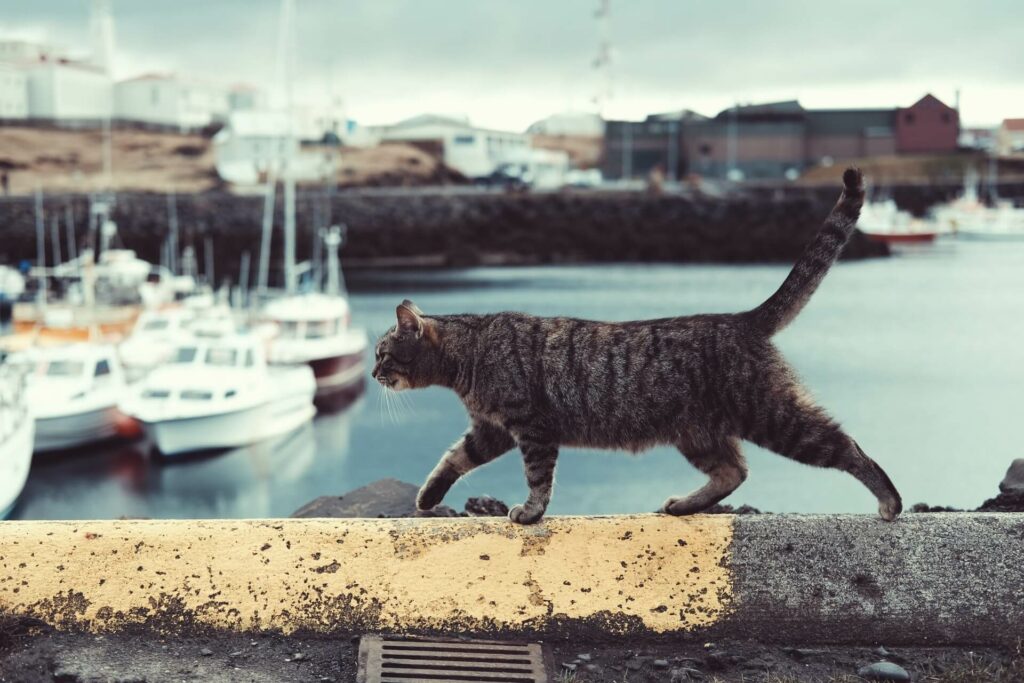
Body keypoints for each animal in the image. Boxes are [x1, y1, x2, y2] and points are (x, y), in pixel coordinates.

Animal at [372, 169, 901, 524]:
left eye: (381, 354)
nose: (374, 374)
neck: (471, 352)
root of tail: (742, 319)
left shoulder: (531, 427)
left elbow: (538, 478)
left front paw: (531, 512)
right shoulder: (491, 430)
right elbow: (452, 459)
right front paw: (428, 497)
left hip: (774, 416)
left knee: (845, 446)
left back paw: (889, 500)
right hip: (699, 434)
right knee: (733, 472)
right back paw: (685, 505)